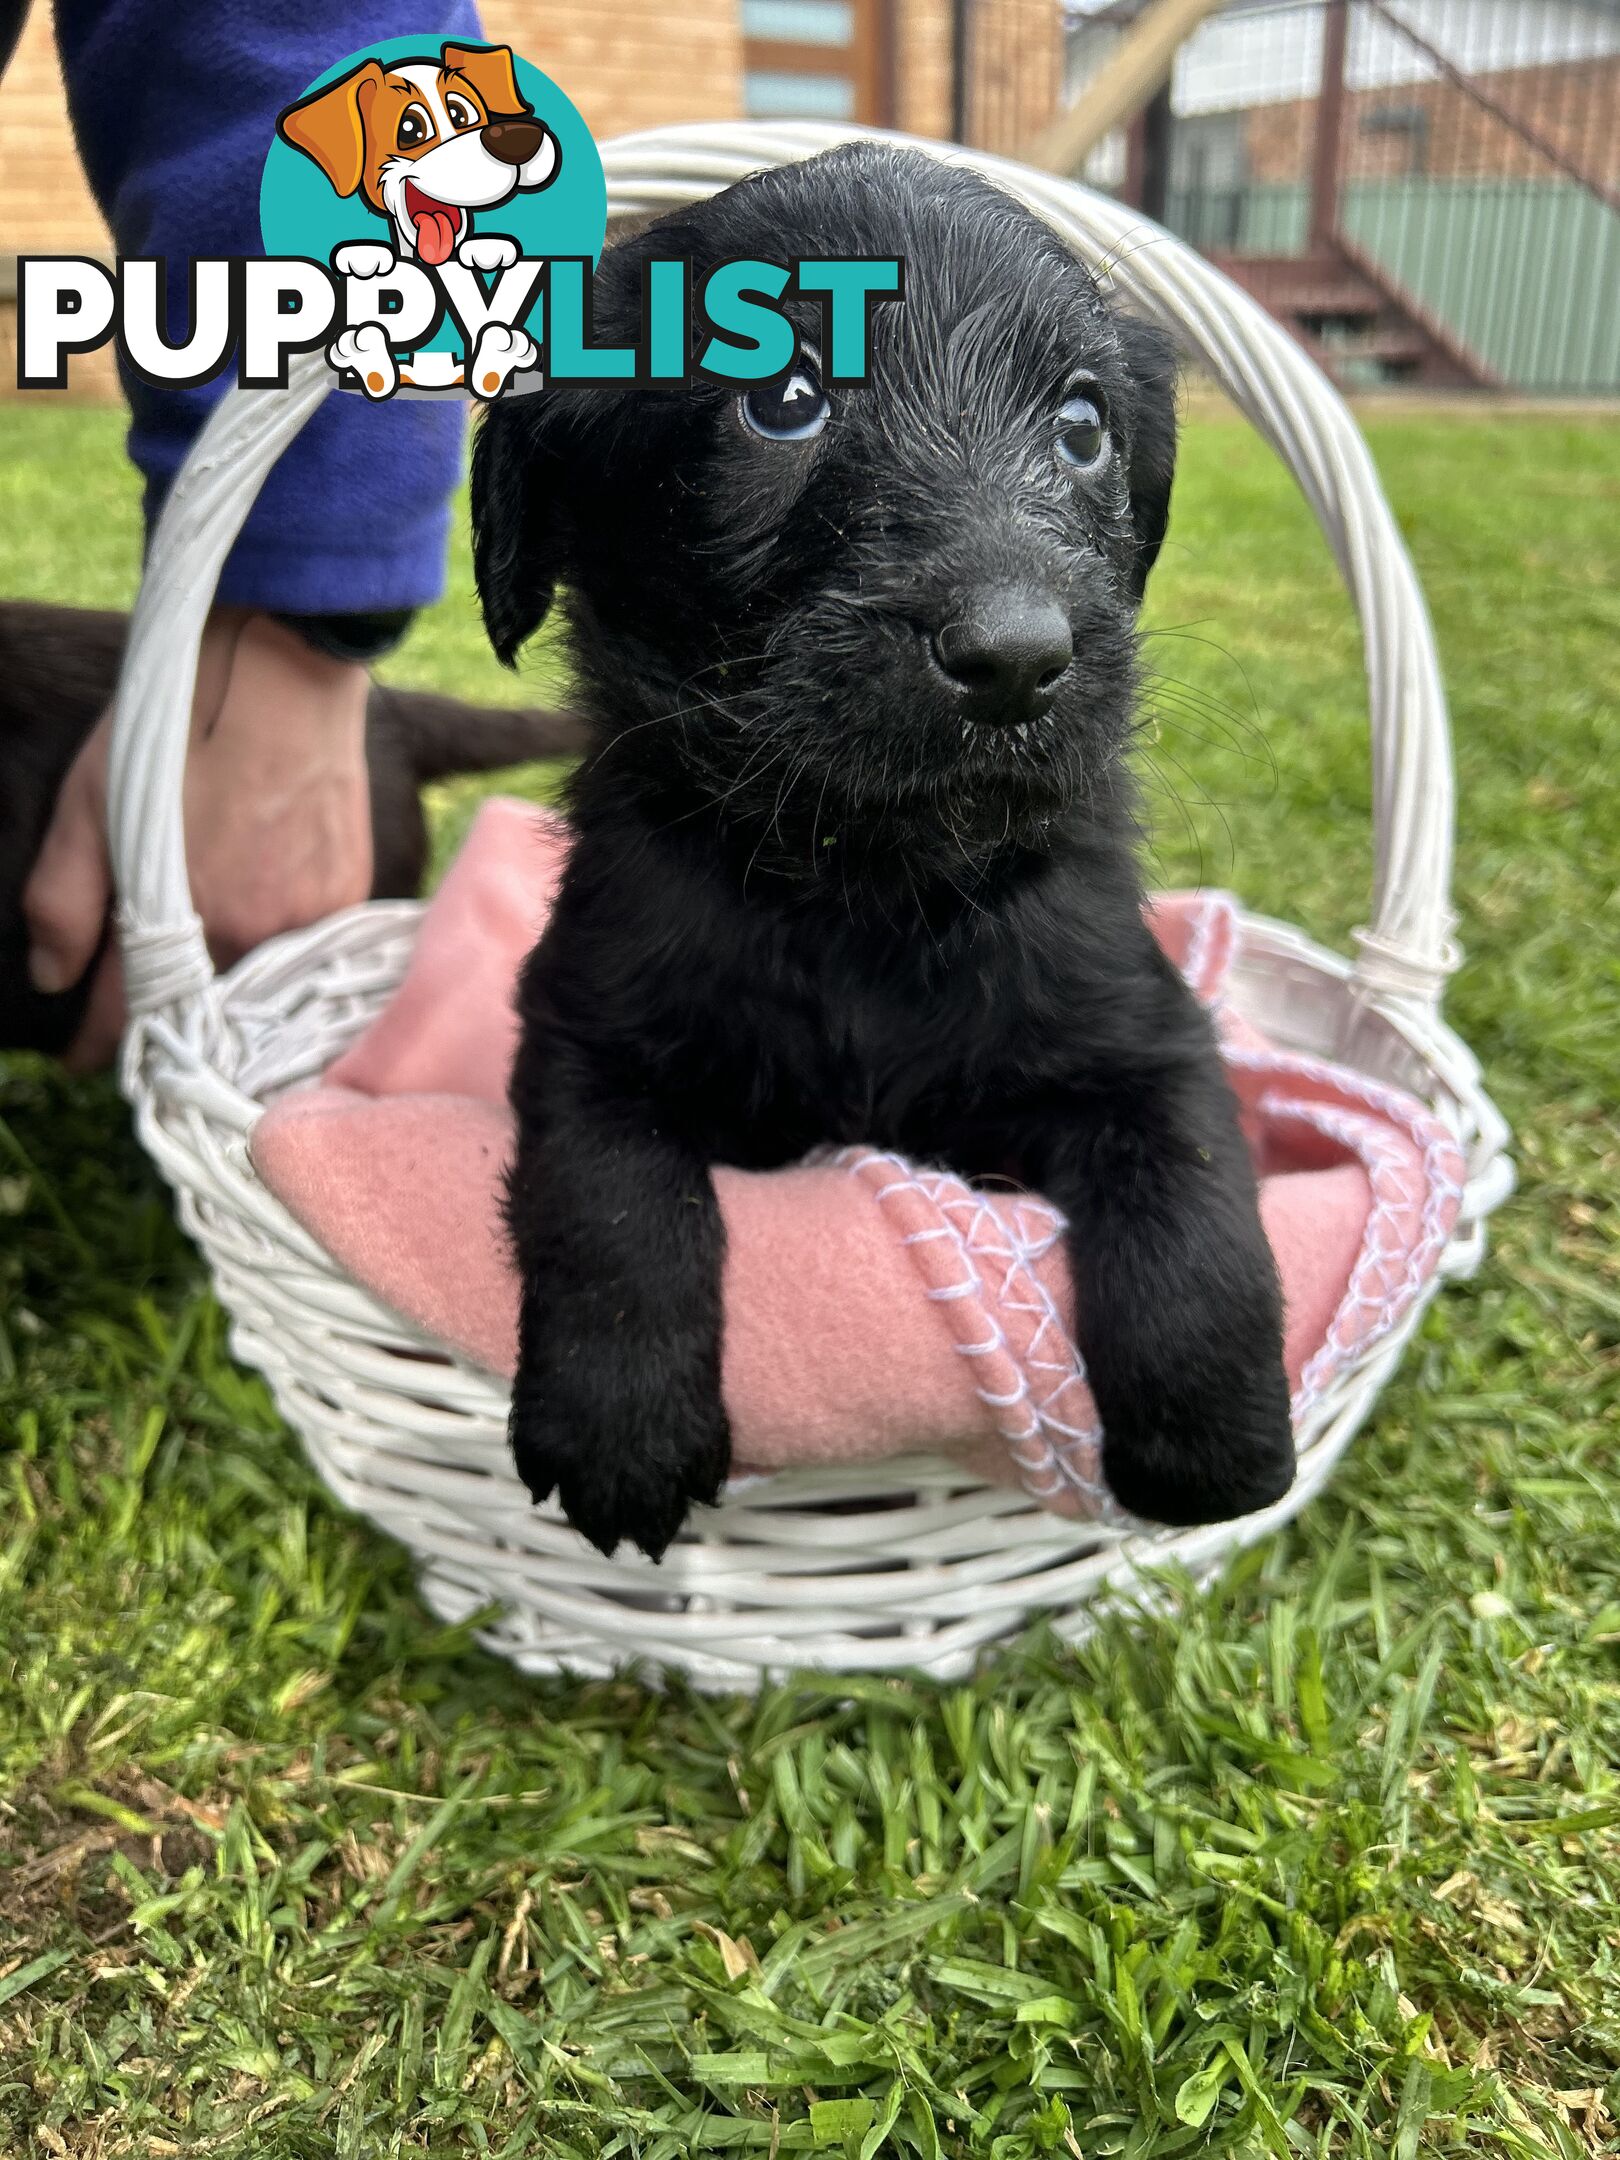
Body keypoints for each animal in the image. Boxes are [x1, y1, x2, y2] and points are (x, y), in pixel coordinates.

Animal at [468, 143, 1296, 1555]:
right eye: (782, 403)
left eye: (1083, 428)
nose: (1016, 657)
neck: (871, 885)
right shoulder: (587, 1028)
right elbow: (613, 1205)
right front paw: (620, 1427)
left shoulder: (1149, 1036)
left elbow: (1187, 1198)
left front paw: (1217, 1443)